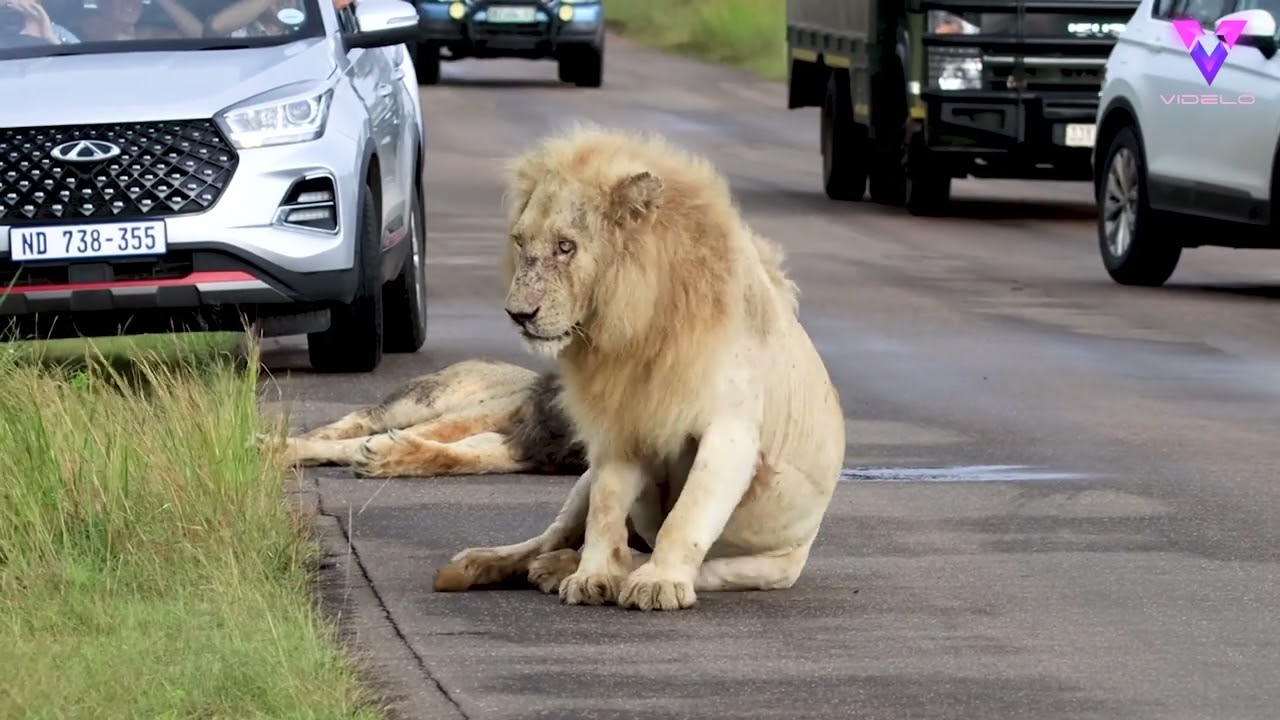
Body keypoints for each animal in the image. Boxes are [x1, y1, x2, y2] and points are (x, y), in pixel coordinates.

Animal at [281, 358, 587, 478]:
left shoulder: (527, 451)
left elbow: (458, 458)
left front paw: (384, 459)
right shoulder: (496, 409)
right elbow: (440, 430)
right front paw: (280, 449)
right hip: (416, 401)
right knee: (359, 419)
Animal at [430, 125, 847, 611]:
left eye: (565, 246)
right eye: (520, 242)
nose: (518, 314)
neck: (638, 326)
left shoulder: (731, 432)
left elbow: (686, 517)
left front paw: (657, 584)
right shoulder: (624, 417)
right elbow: (606, 509)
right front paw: (592, 577)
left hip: (768, 566)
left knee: (677, 558)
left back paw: (567, 569)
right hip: (581, 482)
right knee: (552, 535)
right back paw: (480, 565)